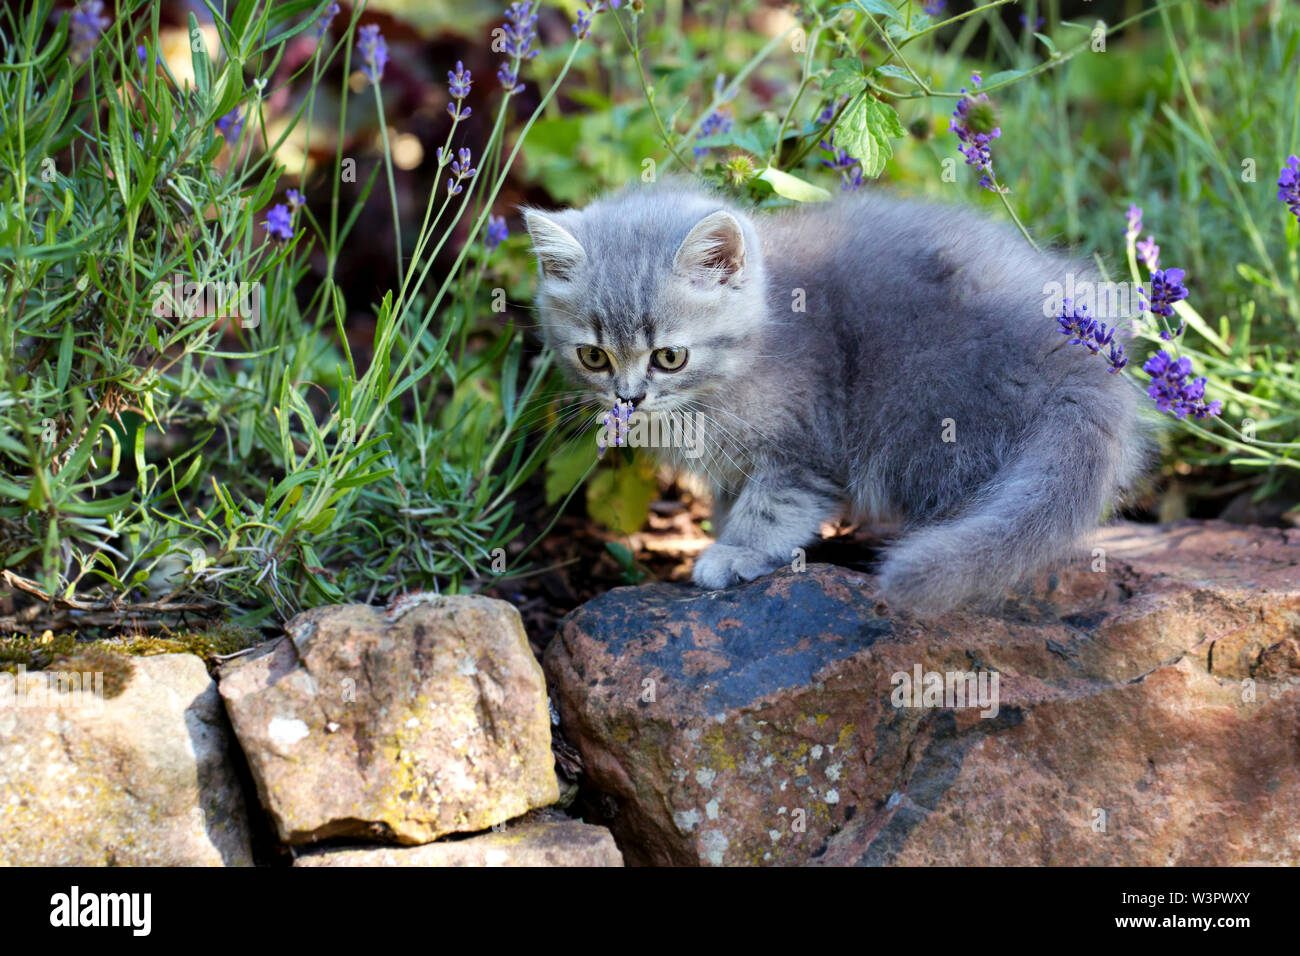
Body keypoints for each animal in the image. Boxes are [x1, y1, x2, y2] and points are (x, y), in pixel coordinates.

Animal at [522, 180, 1154, 616]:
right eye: (594, 357)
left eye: (669, 357)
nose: (629, 398)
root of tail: (1082, 366)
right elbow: (732, 497)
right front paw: (726, 534)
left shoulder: (807, 442)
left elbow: (774, 506)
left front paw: (738, 552)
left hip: (925, 414)